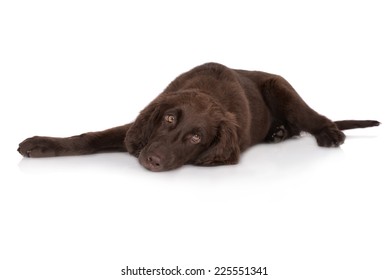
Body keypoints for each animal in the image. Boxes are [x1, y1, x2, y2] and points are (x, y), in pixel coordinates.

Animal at [18, 62, 378, 172]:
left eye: (196, 137)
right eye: (169, 120)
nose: (153, 160)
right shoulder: (138, 128)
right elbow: (90, 138)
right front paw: (39, 145)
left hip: (281, 86)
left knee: (312, 117)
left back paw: (328, 133)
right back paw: (277, 133)